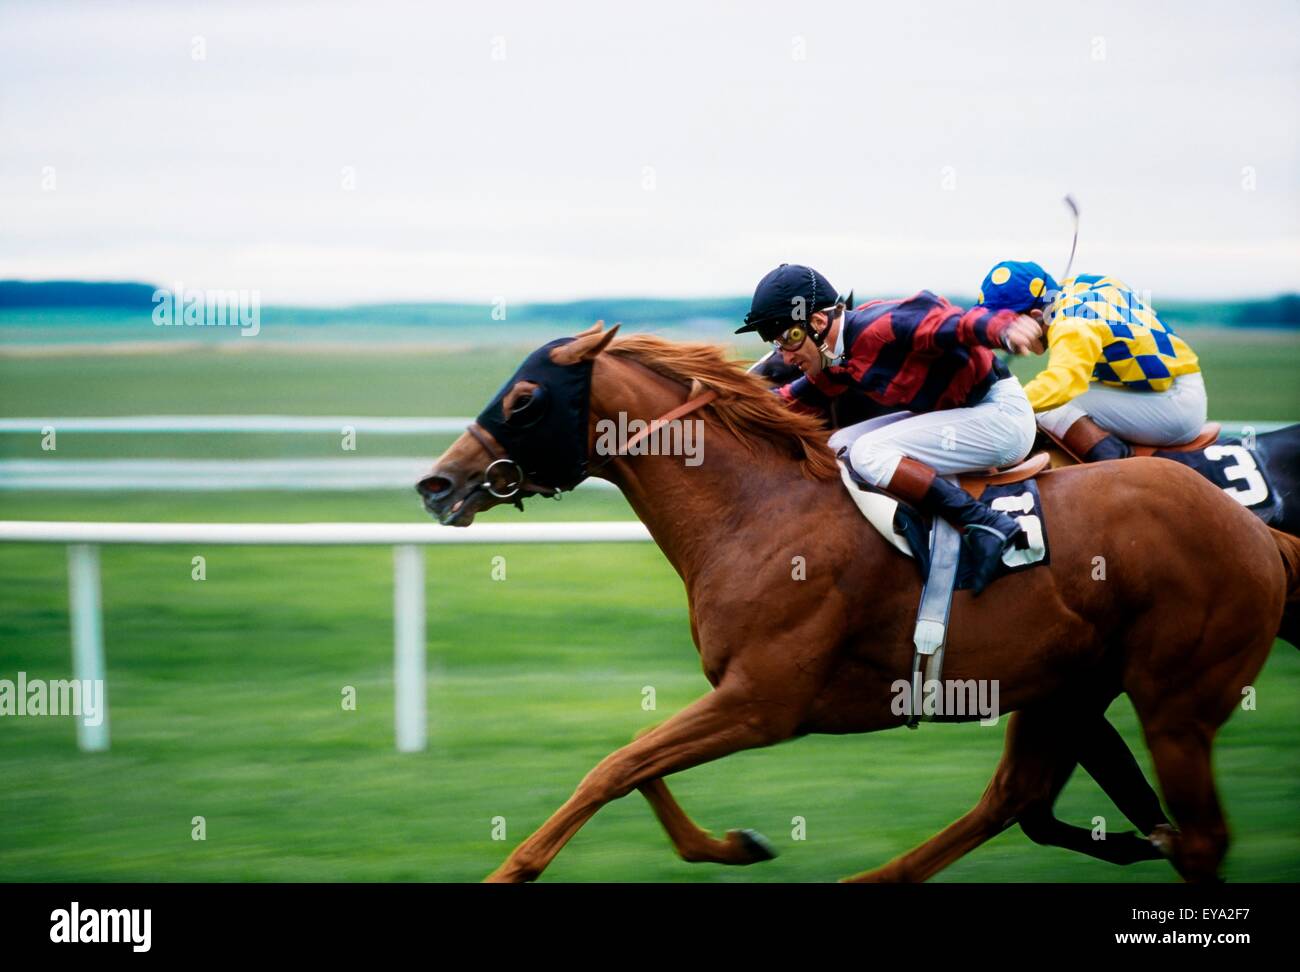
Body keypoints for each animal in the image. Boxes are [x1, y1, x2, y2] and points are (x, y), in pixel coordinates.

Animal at [416, 323, 1300, 883]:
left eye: (524, 399)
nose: (437, 483)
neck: (757, 508)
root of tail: (1260, 538)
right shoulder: (741, 698)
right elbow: (634, 765)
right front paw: (739, 843)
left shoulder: (763, 702)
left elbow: (614, 768)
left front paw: (511, 870)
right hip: (1070, 685)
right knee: (1019, 800)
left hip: (1175, 701)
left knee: (1193, 837)